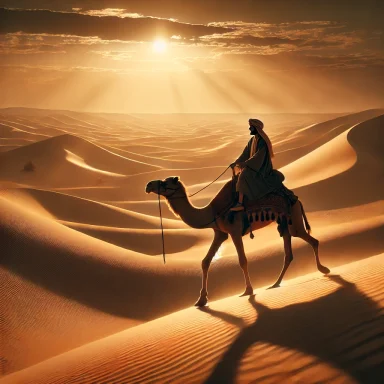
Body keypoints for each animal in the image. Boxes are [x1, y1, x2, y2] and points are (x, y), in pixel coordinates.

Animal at [145, 176, 330, 308]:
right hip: (285, 224)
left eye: (165, 182)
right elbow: (205, 262)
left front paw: (248, 290)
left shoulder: (234, 231)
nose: (148, 185)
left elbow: (242, 260)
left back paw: (324, 269)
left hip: (294, 222)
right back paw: (275, 283)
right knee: (289, 254)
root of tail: (296, 199)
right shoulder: (220, 233)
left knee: (313, 241)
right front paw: (201, 300)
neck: (211, 213)